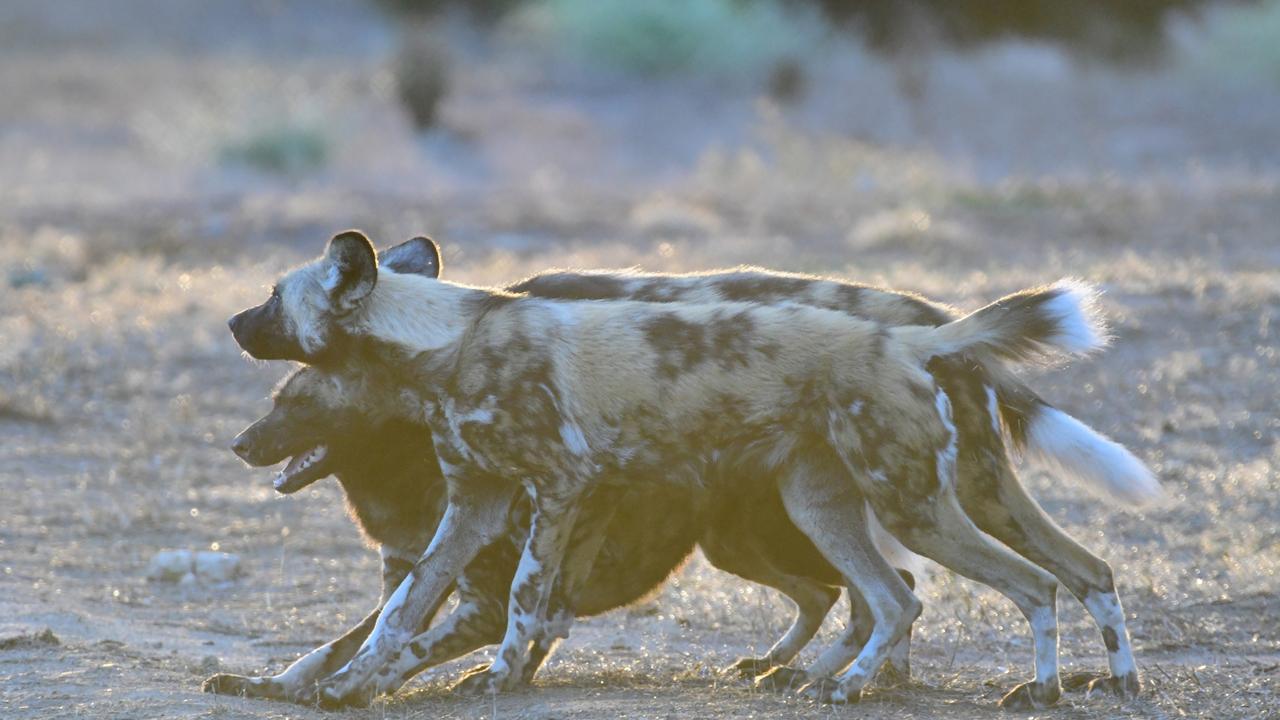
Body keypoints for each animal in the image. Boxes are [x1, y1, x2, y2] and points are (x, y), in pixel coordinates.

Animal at [227, 230, 1152, 707]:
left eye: (273, 297)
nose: (233, 322)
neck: (442, 345)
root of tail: (916, 332)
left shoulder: (558, 491)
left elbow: (521, 603)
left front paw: (496, 682)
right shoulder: (472, 505)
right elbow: (397, 616)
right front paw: (346, 685)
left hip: (914, 505)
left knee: (1025, 585)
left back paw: (1031, 690)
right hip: (841, 504)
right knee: (924, 593)